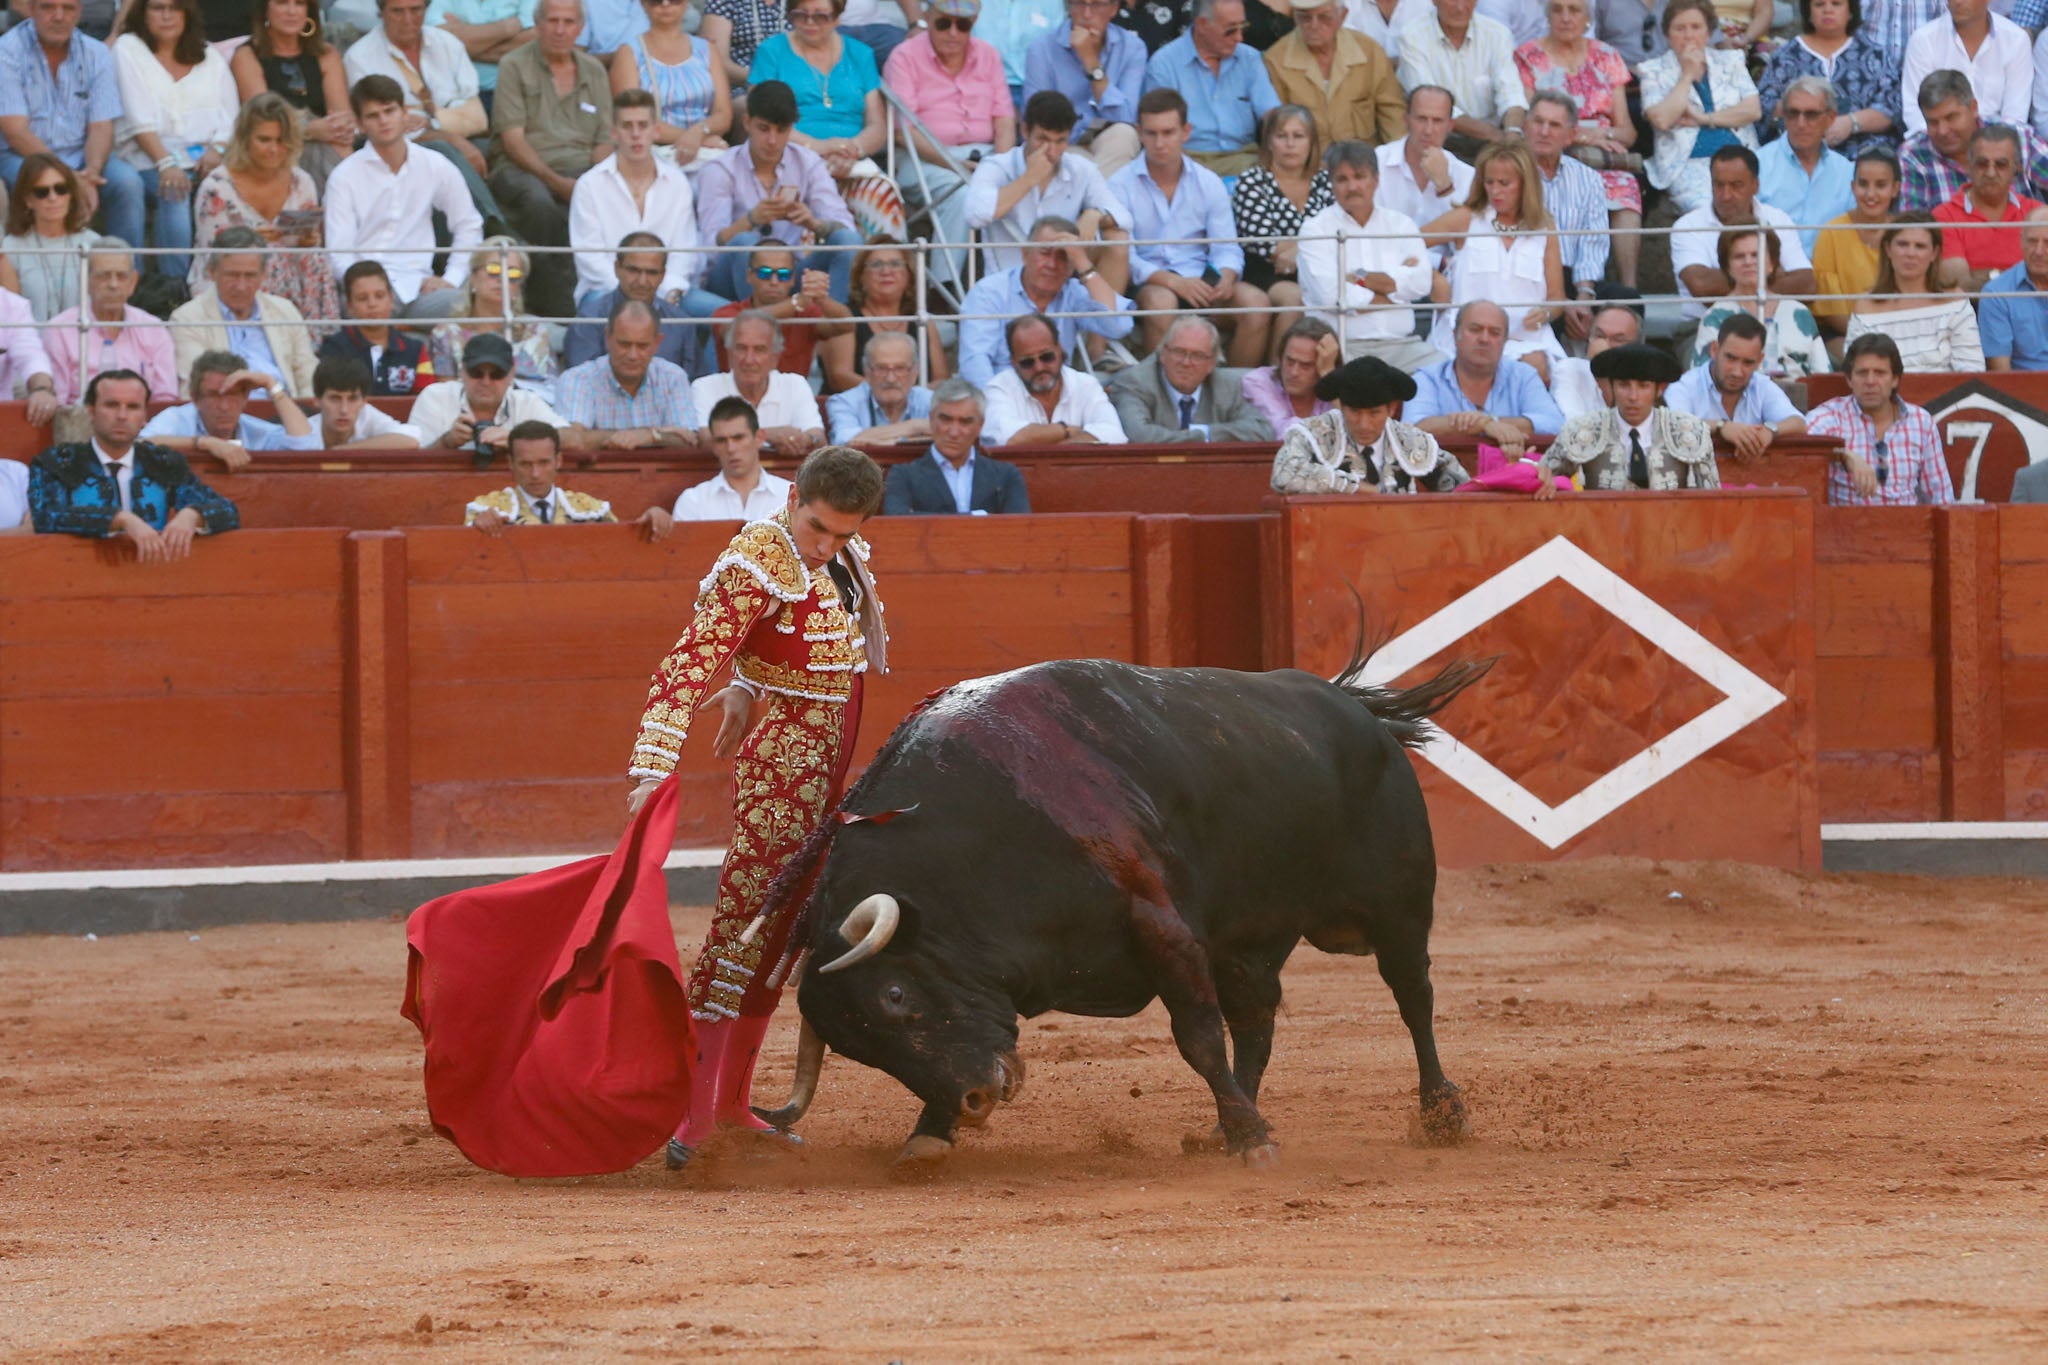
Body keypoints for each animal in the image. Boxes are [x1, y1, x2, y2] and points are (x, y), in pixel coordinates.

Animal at [745, 650, 1482, 1162]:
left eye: (895, 994)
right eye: (861, 1048)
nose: (977, 1101)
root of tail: (1358, 711)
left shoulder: (1160, 924)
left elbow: (1198, 1038)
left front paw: (1253, 1143)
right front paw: (931, 1131)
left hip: (1398, 906)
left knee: (1413, 996)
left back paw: (1440, 1112)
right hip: (1248, 941)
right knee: (1258, 1023)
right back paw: (1221, 1127)